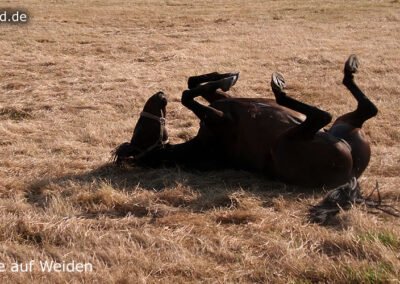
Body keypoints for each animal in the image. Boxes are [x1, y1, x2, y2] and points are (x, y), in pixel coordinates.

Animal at [112, 55, 378, 224]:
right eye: (140, 129)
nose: (159, 95)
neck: (201, 148)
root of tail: (350, 177)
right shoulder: (220, 118)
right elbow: (187, 95)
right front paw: (227, 78)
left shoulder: (219, 104)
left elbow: (191, 84)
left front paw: (225, 75)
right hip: (291, 141)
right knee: (325, 115)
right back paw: (279, 87)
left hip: (346, 127)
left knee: (367, 109)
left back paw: (348, 69)